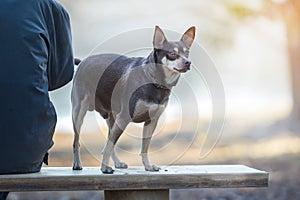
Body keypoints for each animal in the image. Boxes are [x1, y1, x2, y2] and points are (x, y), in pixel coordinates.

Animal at [71, 26, 196, 173]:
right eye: (172, 53)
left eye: (187, 53)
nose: (188, 62)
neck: (153, 80)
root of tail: (82, 62)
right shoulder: (124, 117)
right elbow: (110, 145)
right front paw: (104, 168)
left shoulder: (151, 122)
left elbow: (144, 147)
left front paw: (148, 166)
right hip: (79, 112)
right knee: (77, 141)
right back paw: (77, 163)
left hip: (112, 118)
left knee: (108, 140)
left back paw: (117, 163)